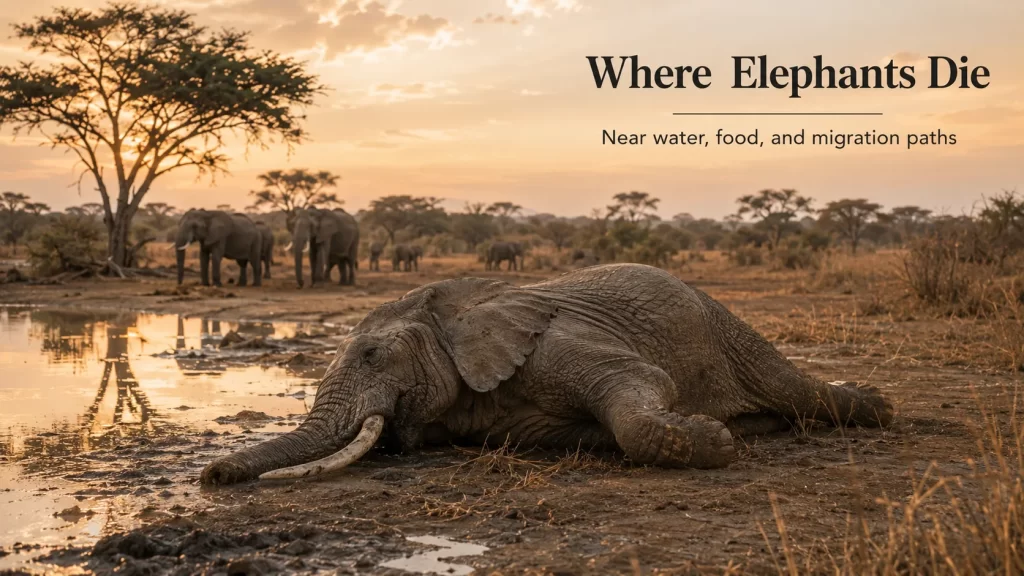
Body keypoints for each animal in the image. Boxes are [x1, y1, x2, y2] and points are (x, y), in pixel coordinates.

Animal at [200, 263, 893, 485]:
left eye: (372, 357)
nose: (212, 475)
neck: (453, 309)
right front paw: (717, 431)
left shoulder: (554, 343)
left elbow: (641, 388)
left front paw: (714, 441)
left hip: (725, 327)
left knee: (795, 389)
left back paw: (876, 408)